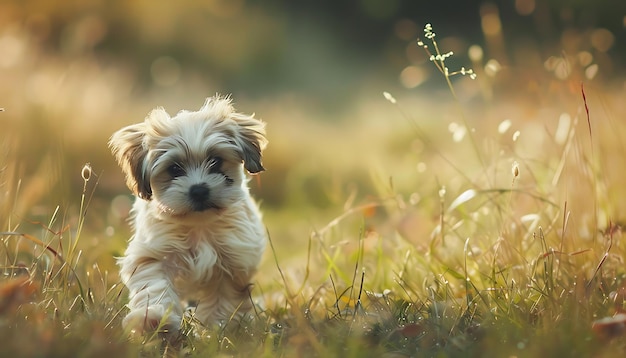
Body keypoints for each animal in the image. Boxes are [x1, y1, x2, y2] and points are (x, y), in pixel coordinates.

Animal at [109, 96, 266, 338]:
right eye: (174, 169)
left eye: (216, 161)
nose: (199, 190)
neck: (197, 226)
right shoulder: (153, 255)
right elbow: (155, 286)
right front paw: (155, 320)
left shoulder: (232, 260)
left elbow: (223, 298)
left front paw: (215, 329)